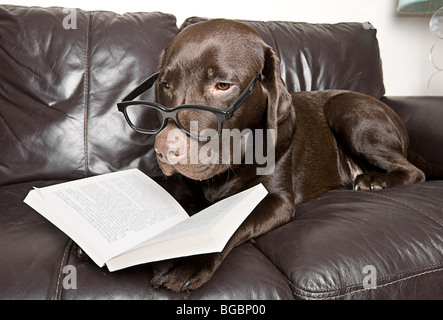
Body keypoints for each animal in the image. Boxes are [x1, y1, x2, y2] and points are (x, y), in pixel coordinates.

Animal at [134, 18, 442, 292]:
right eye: (166, 85)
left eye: (222, 85)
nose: (164, 149)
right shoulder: (178, 189)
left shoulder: (277, 200)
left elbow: (233, 223)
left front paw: (187, 262)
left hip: (347, 109)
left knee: (415, 171)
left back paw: (374, 180)